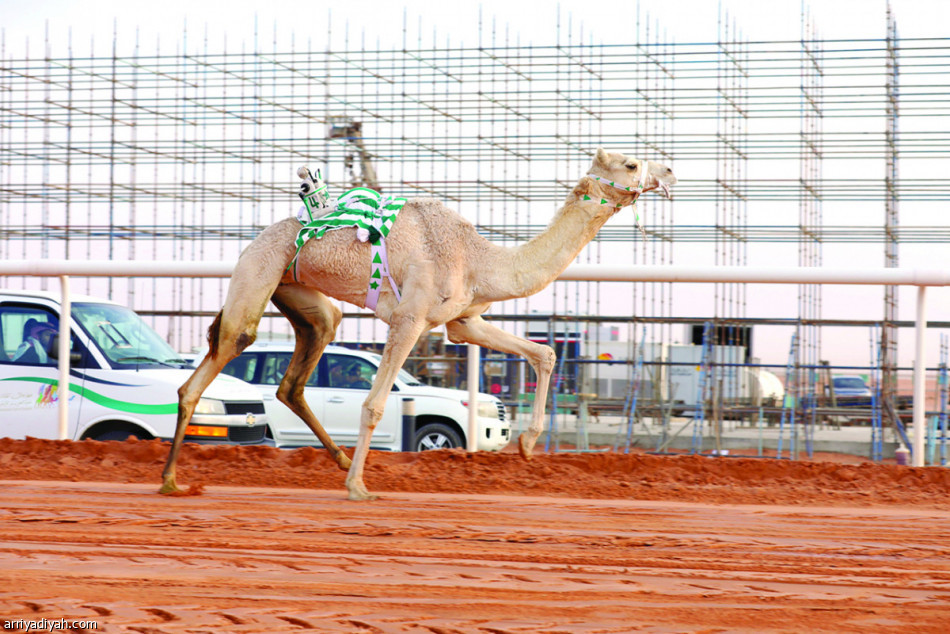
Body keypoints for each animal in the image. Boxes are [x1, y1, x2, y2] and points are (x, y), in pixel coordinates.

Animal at [160, 148, 676, 498]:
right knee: (218, 358)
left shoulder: (463, 321)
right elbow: (373, 404)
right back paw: (170, 480)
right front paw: (359, 488)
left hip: (302, 295)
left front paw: (528, 445)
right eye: (632, 164)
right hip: (257, 274)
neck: (477, 259)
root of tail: (252, 243)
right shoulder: (410, 317)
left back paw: (337, 458)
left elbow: (544, 352)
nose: (670, 170)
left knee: (299, 368)